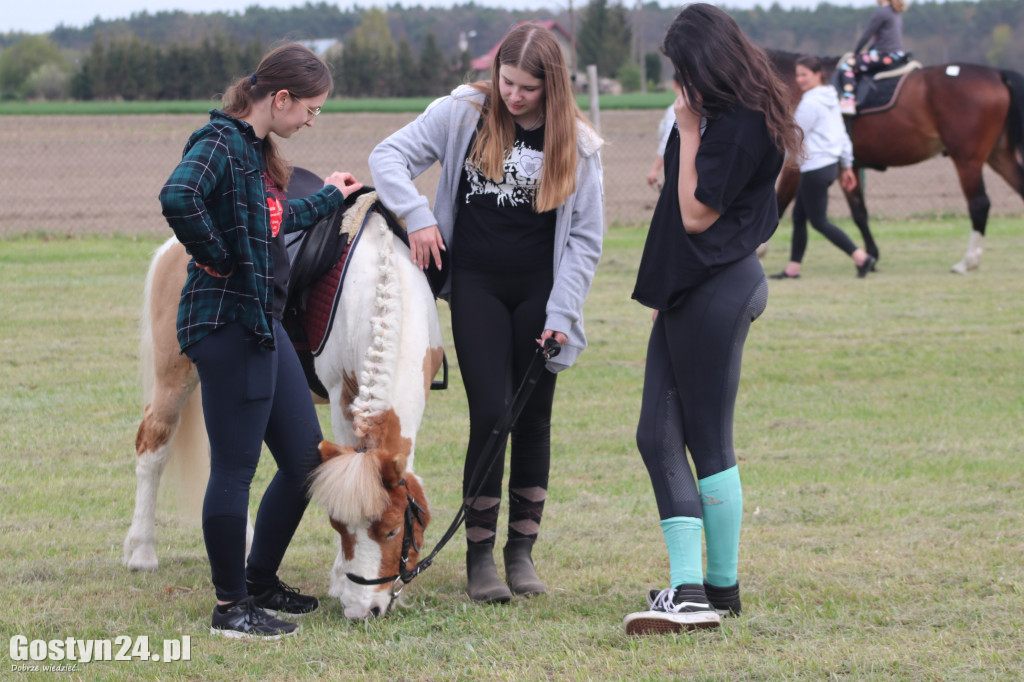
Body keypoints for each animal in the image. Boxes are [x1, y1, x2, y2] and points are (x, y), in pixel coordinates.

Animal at [770, 50, 1024, 270]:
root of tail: (997, 73)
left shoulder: (797, 164)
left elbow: (780, 203)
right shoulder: (848, 167)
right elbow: (859, 212)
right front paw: (871, 256)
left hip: (967, 160)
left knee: (979, 204)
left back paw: (968, 261)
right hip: (998, 156)